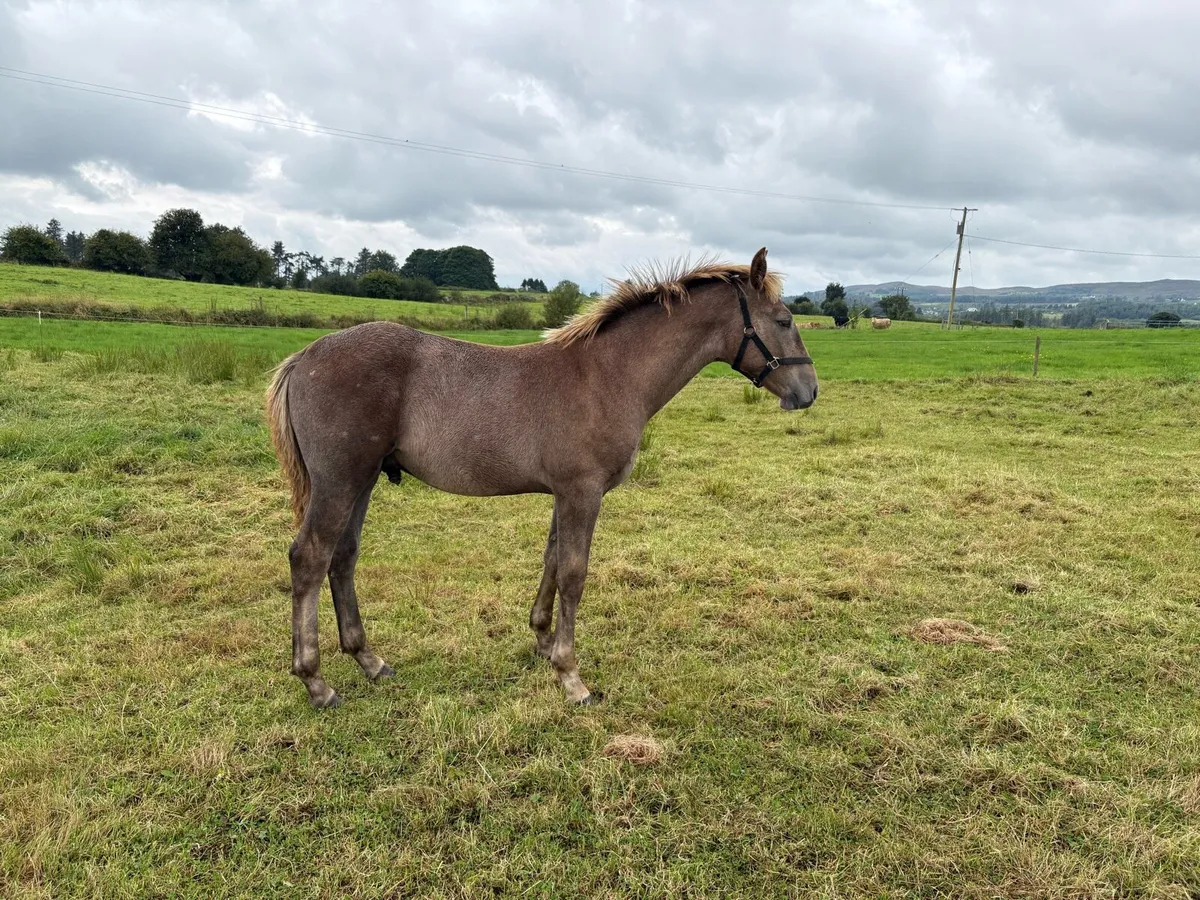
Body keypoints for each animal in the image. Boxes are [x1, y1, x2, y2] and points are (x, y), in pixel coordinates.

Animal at [266, 248, 819, 709]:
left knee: (343, 558)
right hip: (340, 481)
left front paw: (544, 643)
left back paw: (369, 660)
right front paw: (572, 677)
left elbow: (552, 560)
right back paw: (316, 682)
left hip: (362, 481)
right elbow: (574, 573)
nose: (809, 390)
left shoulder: (564, 493)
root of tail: (303, 357)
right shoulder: (582, 492)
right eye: (784, 320)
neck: (609, 374)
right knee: (309, 559)